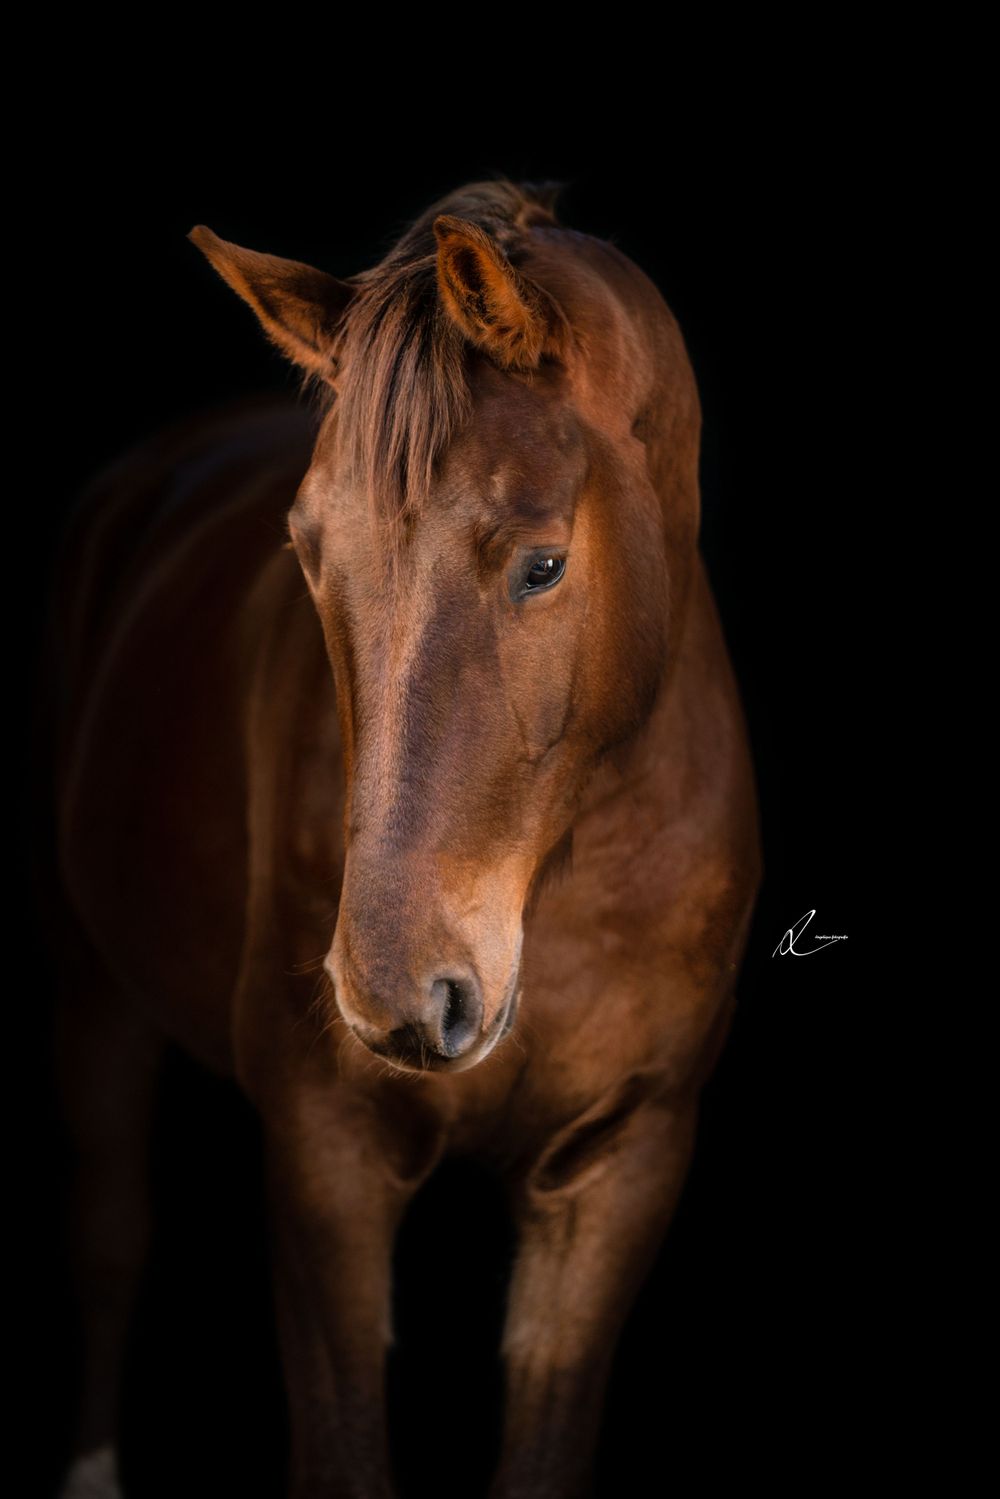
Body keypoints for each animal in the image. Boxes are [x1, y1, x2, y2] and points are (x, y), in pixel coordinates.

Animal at [41, 176, 762, 1498]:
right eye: (307, 552)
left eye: (542, 562)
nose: (396, 997)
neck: (555, 890)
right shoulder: (328, 1153)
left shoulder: (619, 1168)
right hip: (87, 981)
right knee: (110, 1235)